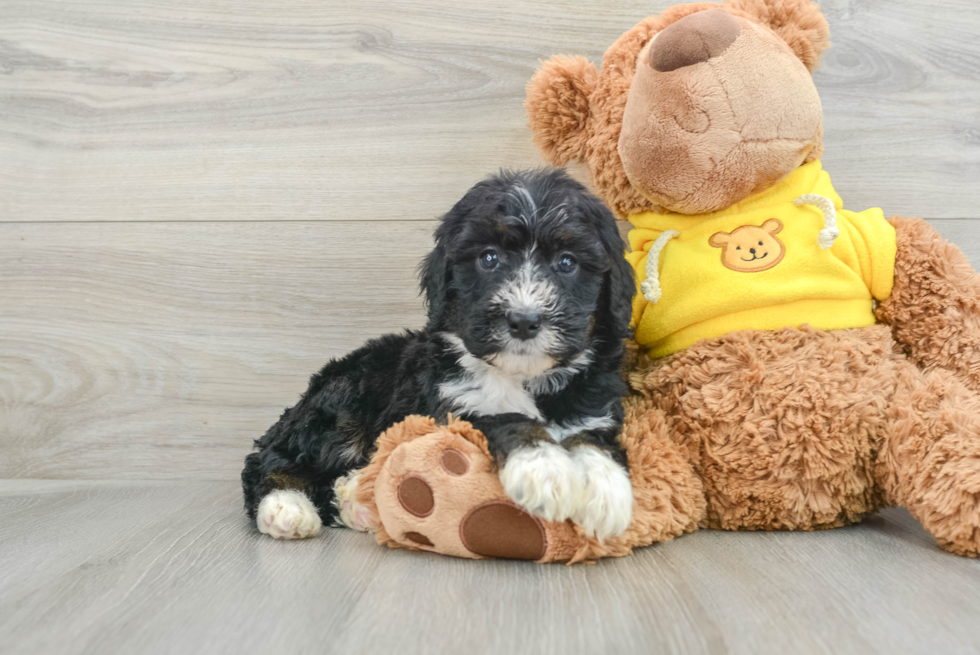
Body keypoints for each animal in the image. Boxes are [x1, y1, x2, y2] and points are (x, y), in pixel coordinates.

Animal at [241, 168, 632, 544]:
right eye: (489, 258)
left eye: (567, 262)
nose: (523, 320)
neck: (524, 377)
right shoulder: (449, 409)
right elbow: (503, 417)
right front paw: (544, 469)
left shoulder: (593, 409)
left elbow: (592, 440)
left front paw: (606, 490)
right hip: (340, 404)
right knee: (268, 458)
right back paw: (286, 507)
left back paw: (355, 501)